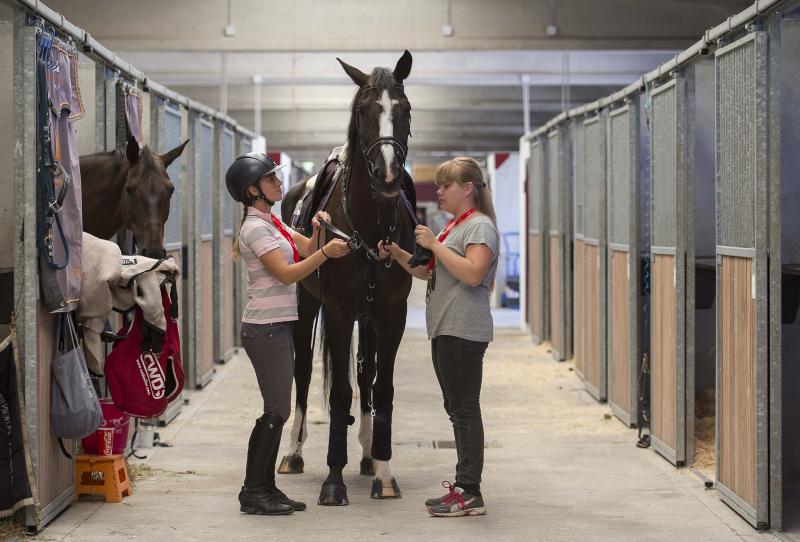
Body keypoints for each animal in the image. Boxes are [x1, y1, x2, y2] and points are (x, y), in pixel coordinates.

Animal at [280, 50, 418, 506]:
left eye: (405, 109)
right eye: (363, 111)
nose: (387, 176)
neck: (369, 228)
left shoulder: (390, 315)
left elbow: (381, 387)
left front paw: (385, 473)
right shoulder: (338, 312)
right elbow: (339, 391)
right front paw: (333, 480)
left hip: (368, 318)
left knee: (365, 377)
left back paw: (368, 454)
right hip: (306, 305)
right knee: (304, 371)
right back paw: (293, 453)